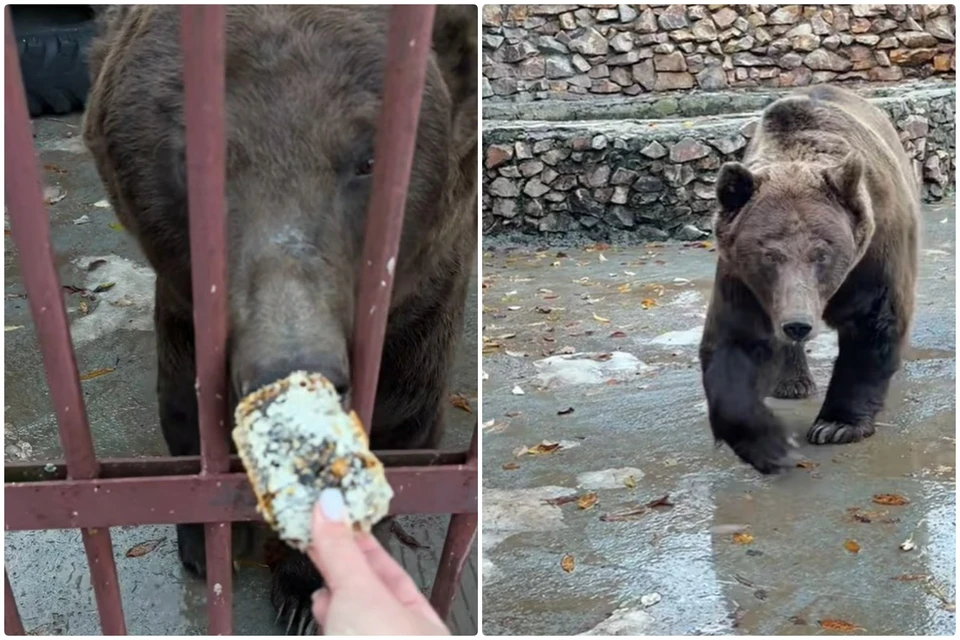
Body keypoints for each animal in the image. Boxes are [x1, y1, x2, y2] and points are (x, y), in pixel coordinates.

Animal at [81, 4, 477, 632]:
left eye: (369, 159)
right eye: (194, 159)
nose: (290, 364)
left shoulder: (419, 304)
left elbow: (396, 427)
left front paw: (304, 592)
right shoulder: (186, 303)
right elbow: (184, 406)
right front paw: (207, 546)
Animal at [699, 84, 920, 475]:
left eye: (822, 253)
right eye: (769, 254)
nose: (798, 323)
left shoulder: (876, 252)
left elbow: (875, 322)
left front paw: (836, 424)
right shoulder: (743, 278)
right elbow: (734, 342)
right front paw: (771, 444)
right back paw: (793, 383)